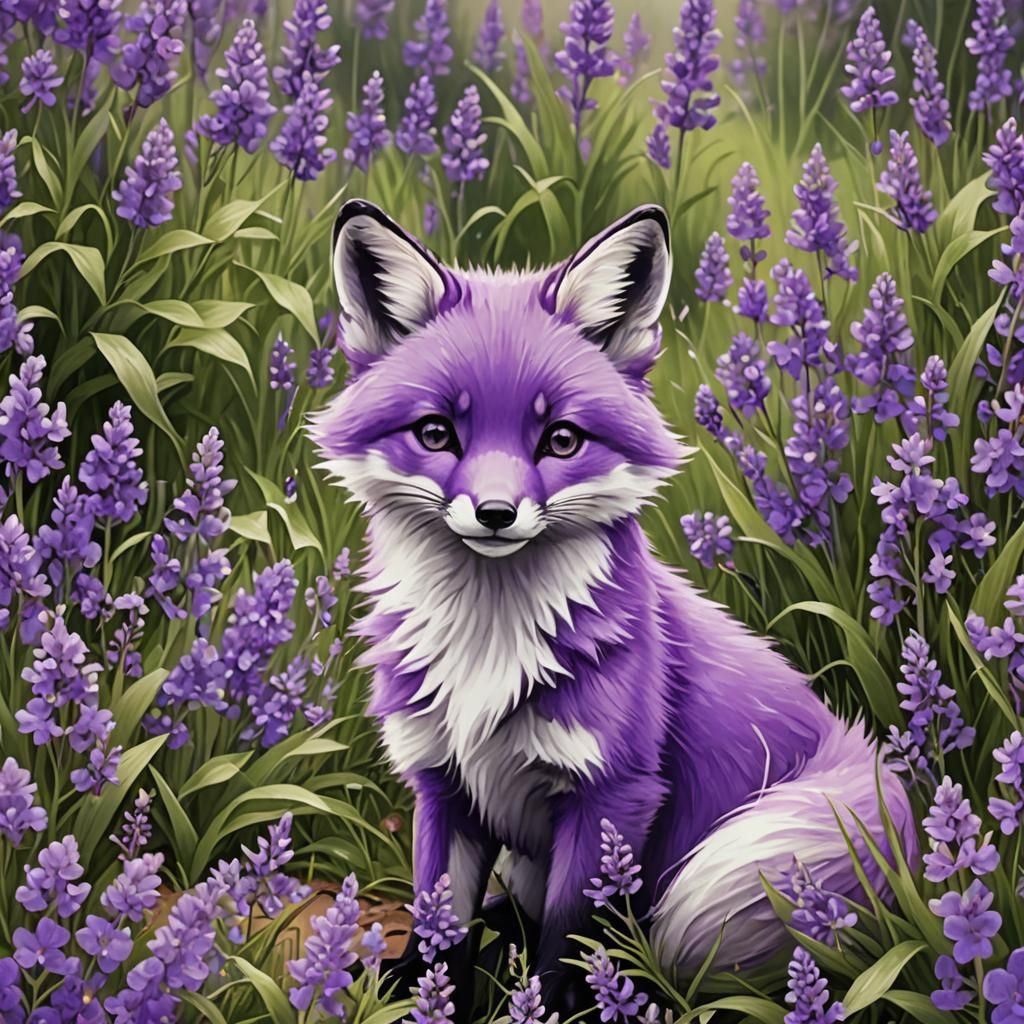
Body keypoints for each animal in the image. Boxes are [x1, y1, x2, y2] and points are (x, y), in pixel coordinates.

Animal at [309, 199, 918, 1003]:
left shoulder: (612, 794)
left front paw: (556, 1007)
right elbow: (442, 927)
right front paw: (424, 993)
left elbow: (567, 943)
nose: (495, 513)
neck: (487, 648)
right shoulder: (441, 784)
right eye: (436, 433)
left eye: (562, 440)